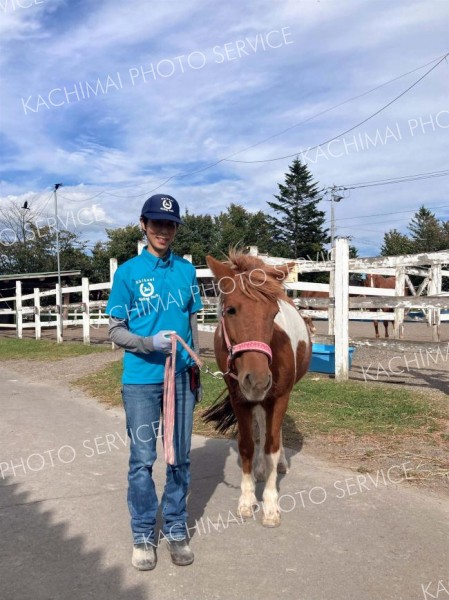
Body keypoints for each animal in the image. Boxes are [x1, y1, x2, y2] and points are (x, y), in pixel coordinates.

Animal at [204, 251, 312, 528]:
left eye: (274, 313)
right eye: (230, 310)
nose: (259, 379)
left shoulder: (280, 396)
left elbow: (271, 447)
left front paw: (271, 506)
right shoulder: (239, 398)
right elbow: (247, 446)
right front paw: (247, 499)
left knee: (273, 434)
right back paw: (260, 470)